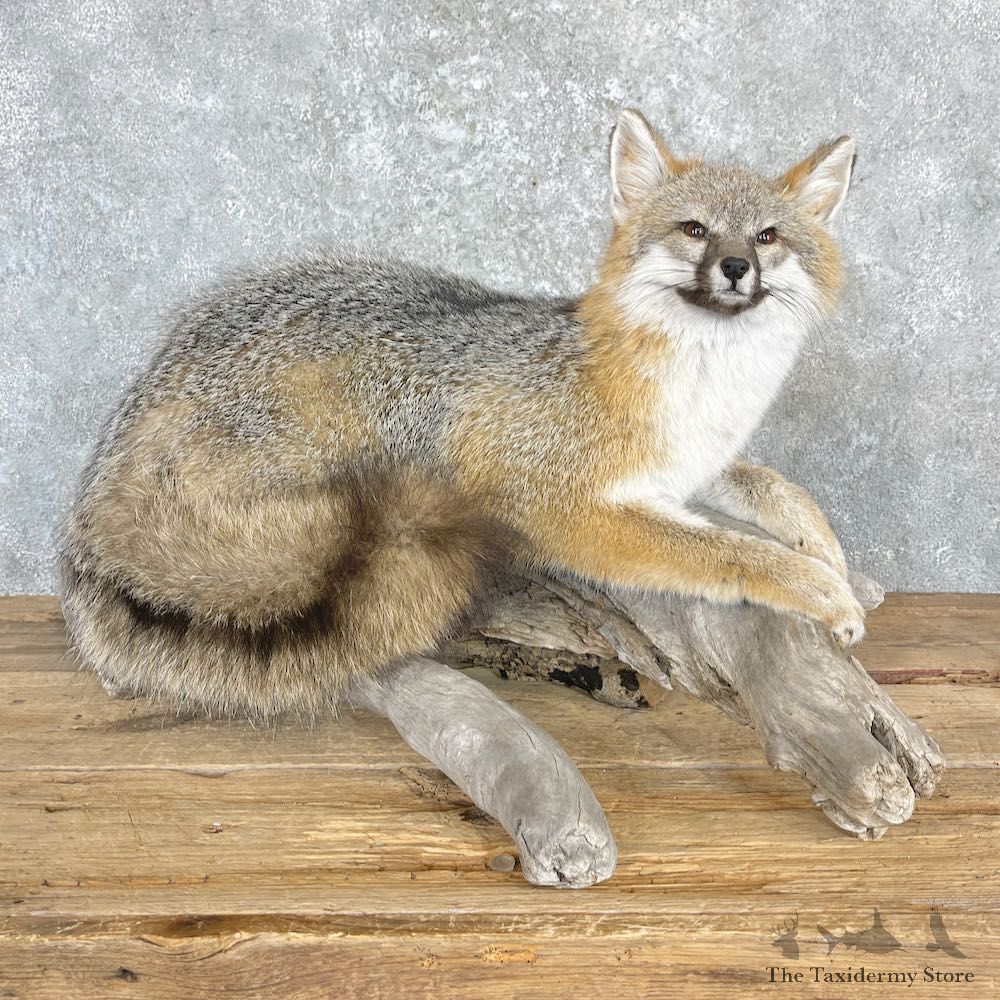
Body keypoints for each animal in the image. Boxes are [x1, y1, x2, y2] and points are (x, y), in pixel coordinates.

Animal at [60, 109, 865, 720]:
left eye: (767, 236)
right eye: (695, 229)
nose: (735, 268)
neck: (702, 394)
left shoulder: (688, 465)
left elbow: (768, 483)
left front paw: (823, 545)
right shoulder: (564, 505)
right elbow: (722, 551)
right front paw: (818, 588)